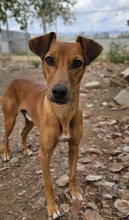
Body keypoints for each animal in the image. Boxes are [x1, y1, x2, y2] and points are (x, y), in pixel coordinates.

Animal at [0, 32, 103, 218]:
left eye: (77, 63)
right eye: (49, 59)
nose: (59, 91)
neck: (63, 112)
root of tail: (14, 80)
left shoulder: (74, 147)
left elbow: (72, 174)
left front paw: (74, 192)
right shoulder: (44, 154)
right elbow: (48, 185)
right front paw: (52, 208)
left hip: (30, 121)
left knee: (23, 133)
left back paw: (25, 150)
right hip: (10, 119)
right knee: (6, 136)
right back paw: (5, 153)